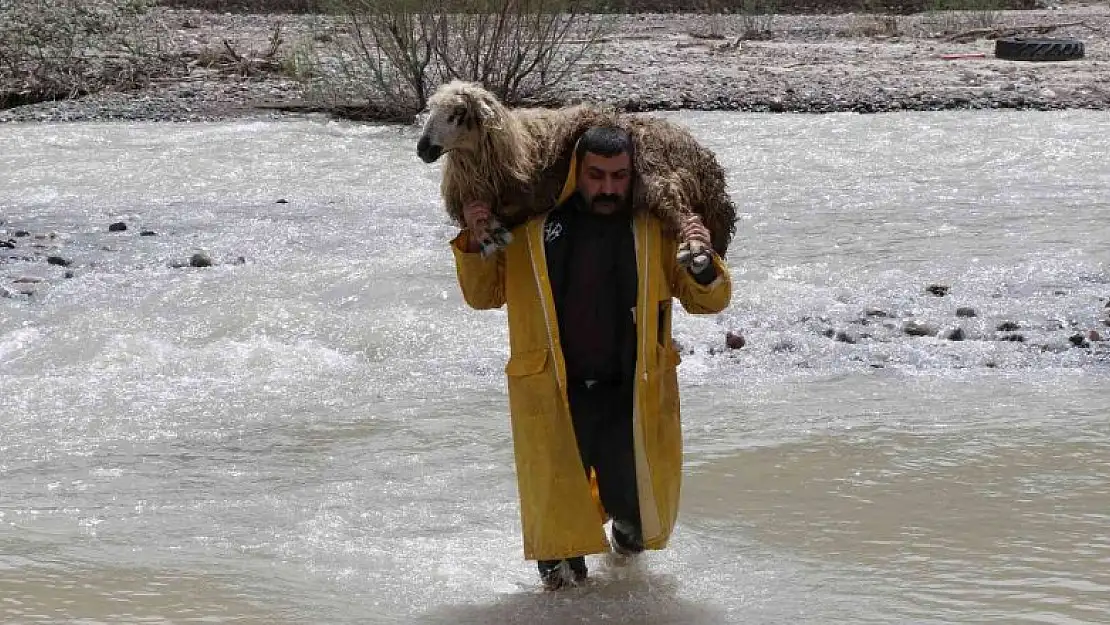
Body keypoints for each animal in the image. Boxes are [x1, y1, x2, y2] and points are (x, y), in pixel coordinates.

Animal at [417, 80, 737, 271]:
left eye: (457, 114)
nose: (422, 148)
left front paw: (492, 234)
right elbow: (479, 219)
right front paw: (488, 234)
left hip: (660, 176)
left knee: (688, 217)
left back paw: (696, 251)